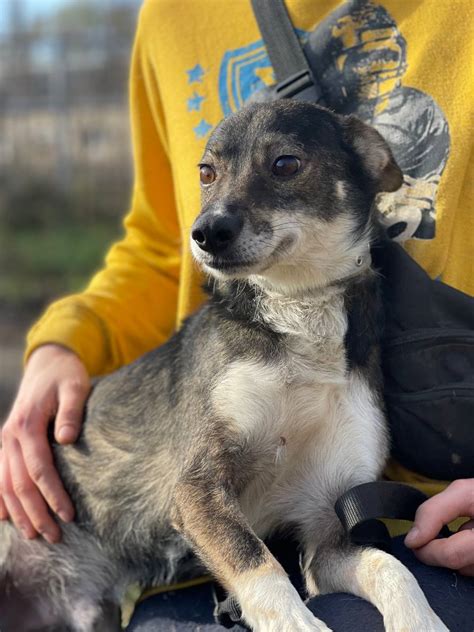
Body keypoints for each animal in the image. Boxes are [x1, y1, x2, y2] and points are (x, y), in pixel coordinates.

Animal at [0, 102, 448, 632]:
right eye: (206, 173)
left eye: (285, 164)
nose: (206, 233)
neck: (299, 314)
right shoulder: (198, 489)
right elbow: (259, 565)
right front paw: (299, 624)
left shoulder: (328, 532)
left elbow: (393, 568)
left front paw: (421, 622)